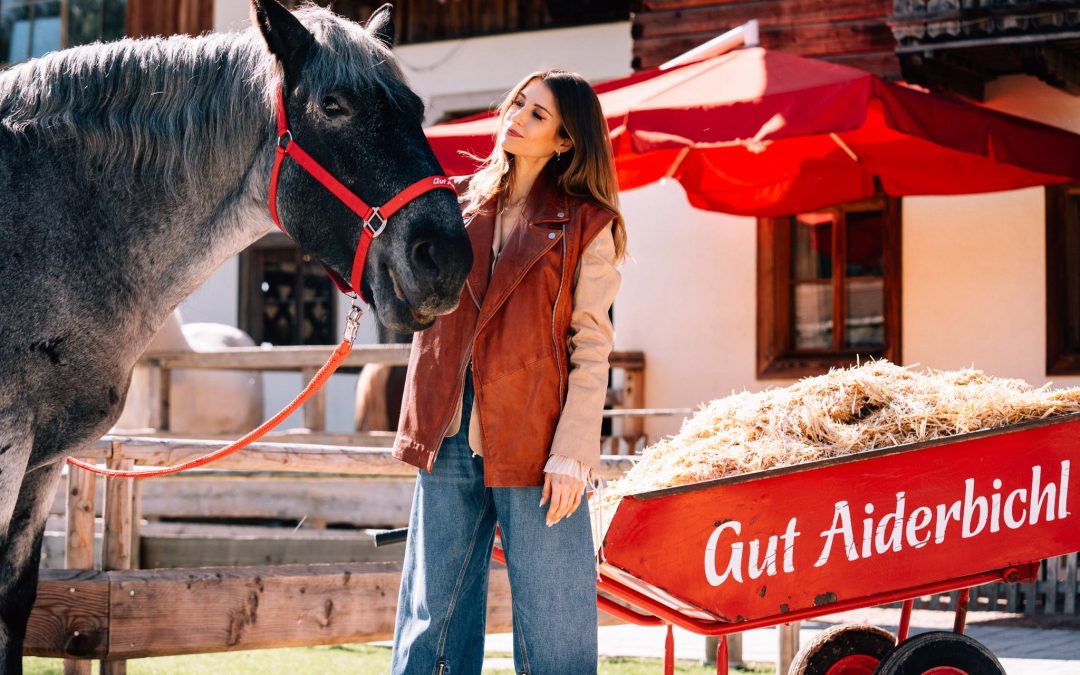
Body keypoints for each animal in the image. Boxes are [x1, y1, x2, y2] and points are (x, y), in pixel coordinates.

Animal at [0, 1, 472, 669]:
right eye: (333, 105)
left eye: (415, 107)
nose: (447, 257)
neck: (51, 224)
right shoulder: (12, 445)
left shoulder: (42, 461)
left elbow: (15, 601)